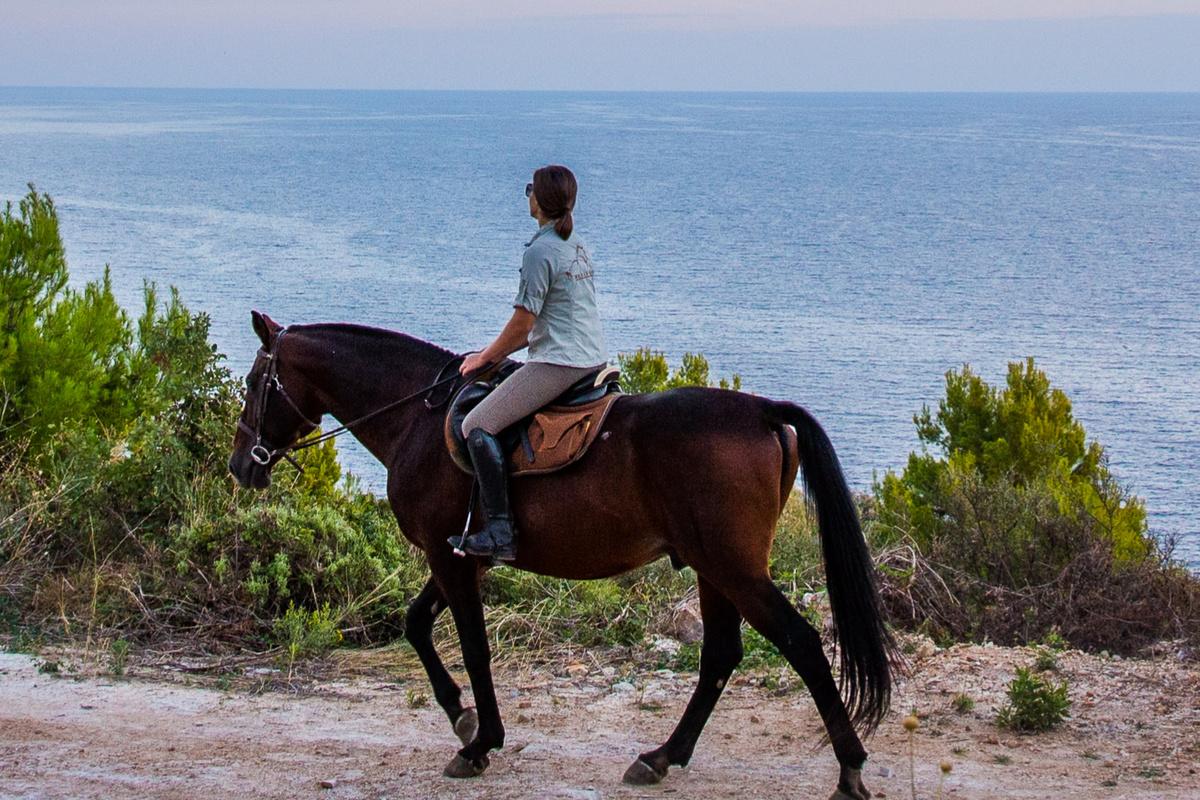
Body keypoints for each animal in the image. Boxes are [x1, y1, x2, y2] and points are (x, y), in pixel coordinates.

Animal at [229, 311, 897, 800]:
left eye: (256, 385)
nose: (241, 467)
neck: (415, 419)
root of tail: (761, 411)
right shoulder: (460, 556)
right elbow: (417, 625)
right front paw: (462, 717)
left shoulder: (451, 561)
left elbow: (472, 647)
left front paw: (479, 743)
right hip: (713, 569)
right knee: (721, 656)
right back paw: (661, 758)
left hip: (734, 569)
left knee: (801, 644)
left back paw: (849, 771)